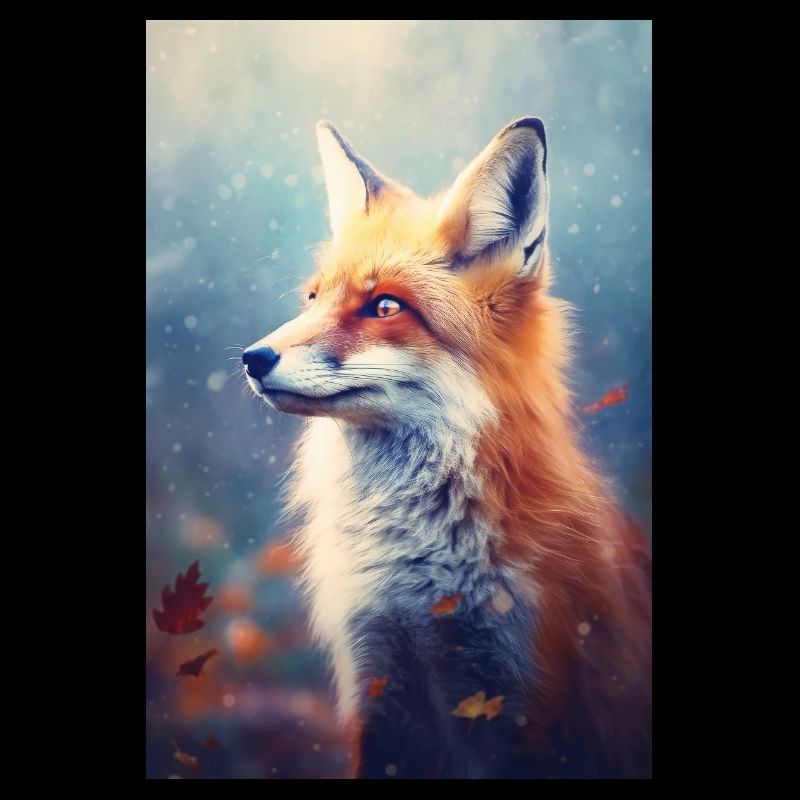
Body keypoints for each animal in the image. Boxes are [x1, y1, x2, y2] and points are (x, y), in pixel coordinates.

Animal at [243, 117, 652, 779]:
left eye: (385, 306)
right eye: (313, 300)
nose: (252, 358)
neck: (417, 580)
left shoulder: (526, 708)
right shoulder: (380, 691)